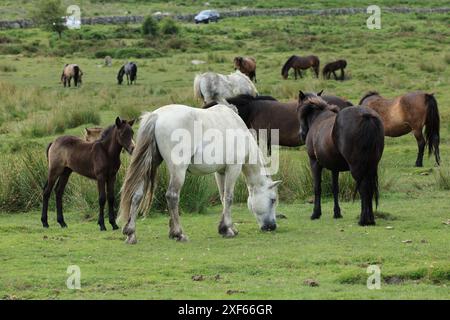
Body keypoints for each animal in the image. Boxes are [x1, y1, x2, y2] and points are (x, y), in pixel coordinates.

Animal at [119, 104, 282, 244]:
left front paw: (227, 227)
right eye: (273, 200)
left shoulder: (220, 172)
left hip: (150, 164)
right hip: (178, 171)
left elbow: (223, 197)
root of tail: (157, 116)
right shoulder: (233, 168)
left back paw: (131, 233)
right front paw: (227, 229)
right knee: (172, 196)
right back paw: (179, 233)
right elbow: (229, 198)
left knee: (137, 195)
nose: (272, 226)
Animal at [298, 91, 384, 226]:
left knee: (364, 189)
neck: (318, 119)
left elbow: (317, 187)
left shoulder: (314, 162)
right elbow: (335, 188)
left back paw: (363, 220)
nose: (301, 134)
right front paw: (337, 213)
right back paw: (370, 219)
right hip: (371, 166)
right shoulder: (335, 168)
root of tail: (366, 115)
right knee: (369, 189)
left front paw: (316, 213)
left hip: (357, 168)